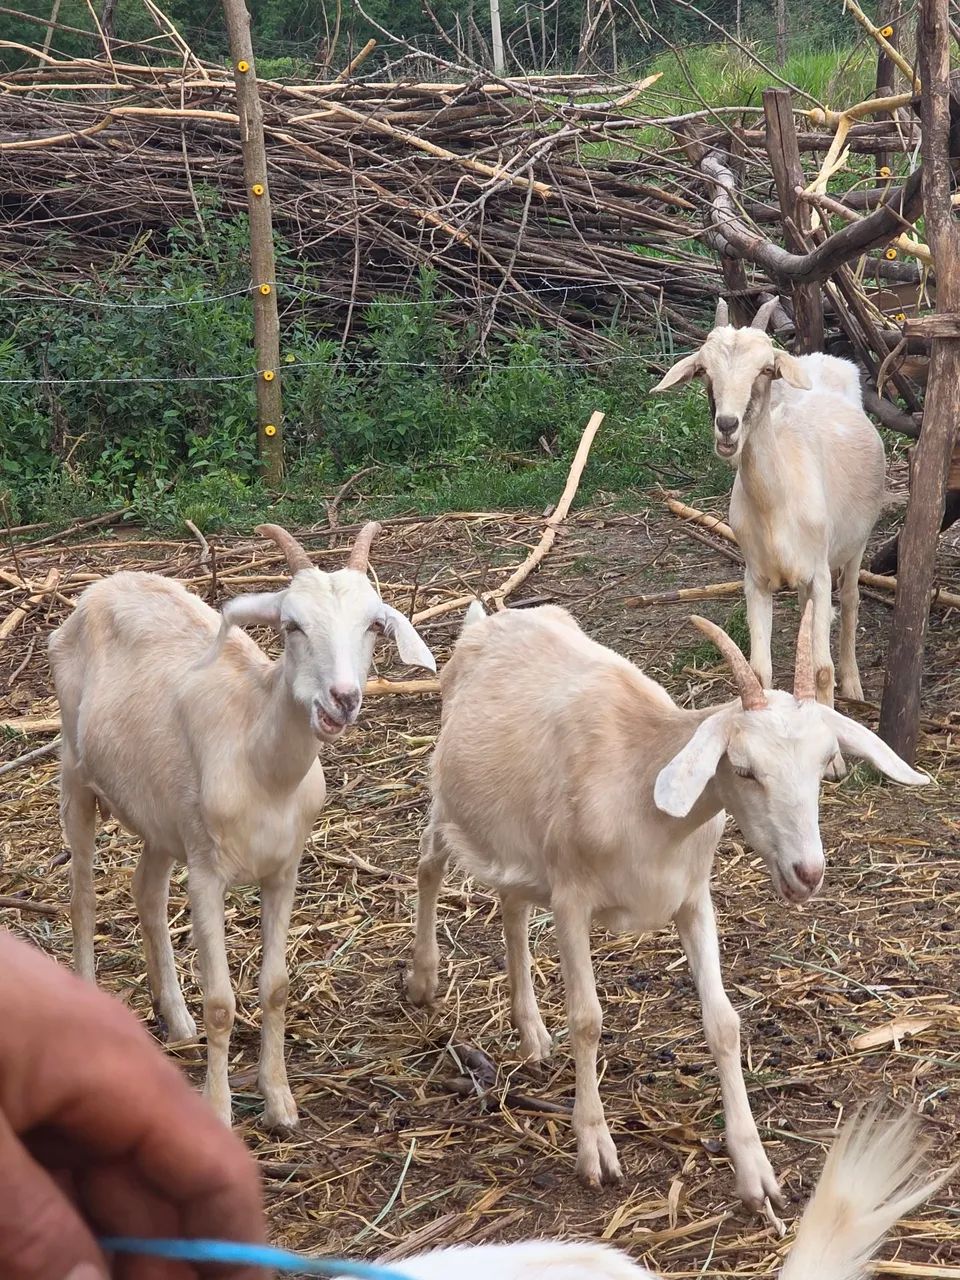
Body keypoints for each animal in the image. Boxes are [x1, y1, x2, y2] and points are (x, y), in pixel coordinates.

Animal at [49, 522, 435, 1129]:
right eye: (292, 625)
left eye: (374, 625)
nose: (342, 700)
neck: (258, 760)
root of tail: (102, 586)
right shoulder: (207, 875)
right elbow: (221, 1004)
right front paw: (217, 1109)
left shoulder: (282, 870)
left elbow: (275, 987)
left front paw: (280, 1103)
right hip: (74, 768)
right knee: (83, 894)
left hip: (164, 815)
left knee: (146, 890)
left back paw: (175, 1019)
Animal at [406, 601, 926, 1206]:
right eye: (744, 769)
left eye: (824, 764)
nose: (807, 873)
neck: (639, 787)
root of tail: (488, 617)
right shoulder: (572, 899)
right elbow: (587, 1019)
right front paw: (595, 1146)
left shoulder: (692, 899)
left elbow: (723, 1023)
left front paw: (755, 1169)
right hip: (451, 808)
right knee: (429, 865)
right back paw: (423, 979)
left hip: (520, 841)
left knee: (512, 907)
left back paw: (531, 1031)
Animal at [652, 299, 886, 773]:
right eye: (703, 371)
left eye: (764, 369)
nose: (727, 426)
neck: (776, 504)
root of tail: (822, 363)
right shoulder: (755, 578)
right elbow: (759, 671)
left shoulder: (818, 573)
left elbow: (820, 669)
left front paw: (834, 760)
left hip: (855, 544)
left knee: (851, 599)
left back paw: (853, 683)